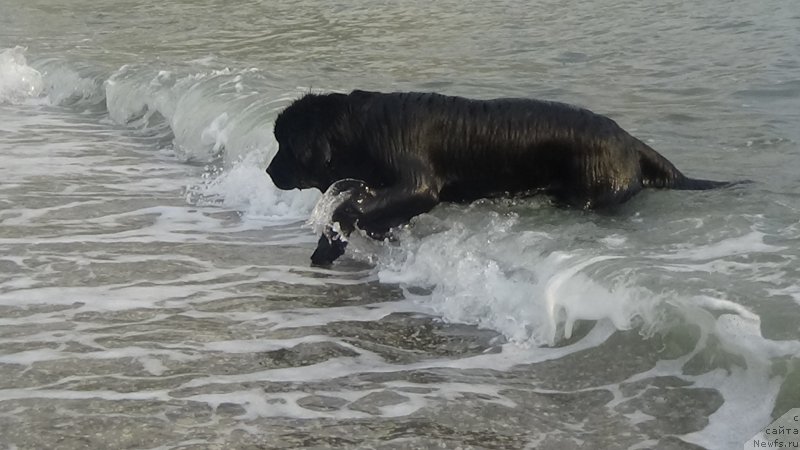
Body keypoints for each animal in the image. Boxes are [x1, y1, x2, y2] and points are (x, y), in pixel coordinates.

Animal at [268, 90, 732, 266]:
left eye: (284, 145)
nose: (269, 170)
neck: (359, 128)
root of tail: (629, 140)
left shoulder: (417, 184)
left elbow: (351, 208)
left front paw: (328, 245)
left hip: (594, 189)